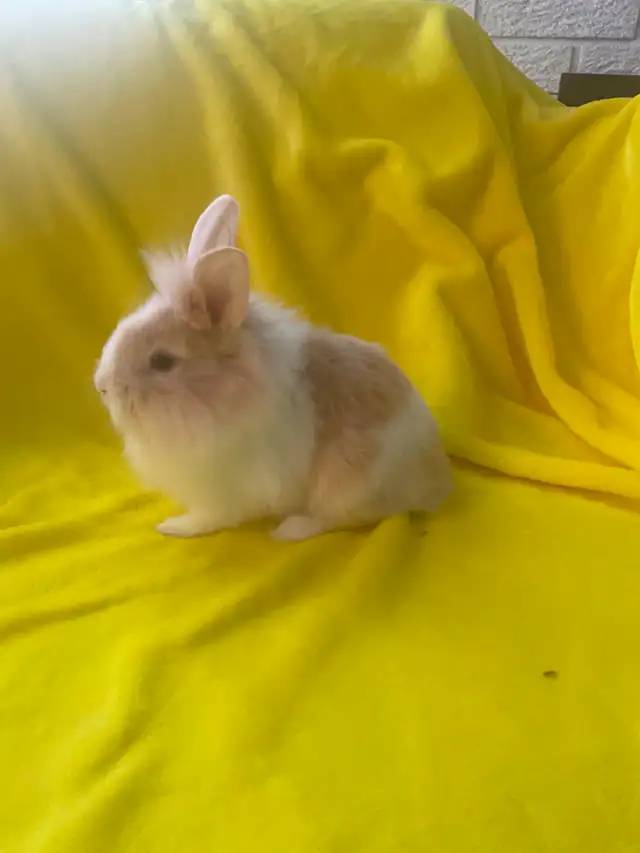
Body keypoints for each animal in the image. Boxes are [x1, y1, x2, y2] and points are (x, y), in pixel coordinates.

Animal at [94, 195, 452, 541]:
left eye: (162, 361)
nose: (102, 387)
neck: (222, 395)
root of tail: (436, 481)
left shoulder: (224, 490)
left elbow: (208, 517)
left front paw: (174, 527)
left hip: (346, 481)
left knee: (335, 518)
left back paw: (289, 531)